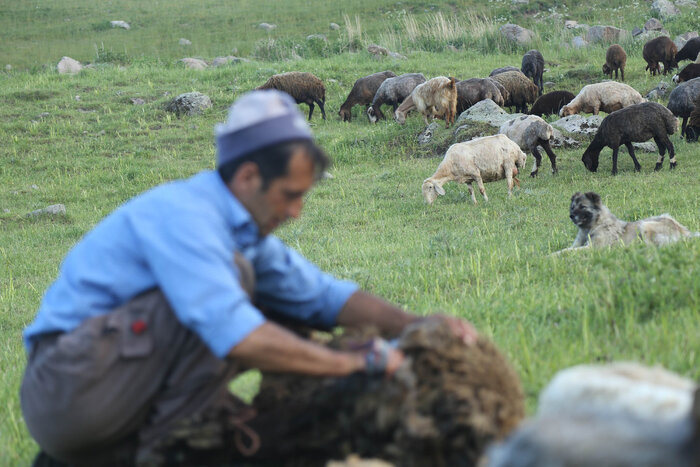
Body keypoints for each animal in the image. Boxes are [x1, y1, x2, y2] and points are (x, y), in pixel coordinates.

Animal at [556, 192, 696, 254]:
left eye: (582, 206)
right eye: (573, 207)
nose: (571, 216)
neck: (594, 224)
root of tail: (686, 232)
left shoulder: (593, 248)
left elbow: (567, 252)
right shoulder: (577, 245)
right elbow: (565, 249)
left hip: (645, 224)